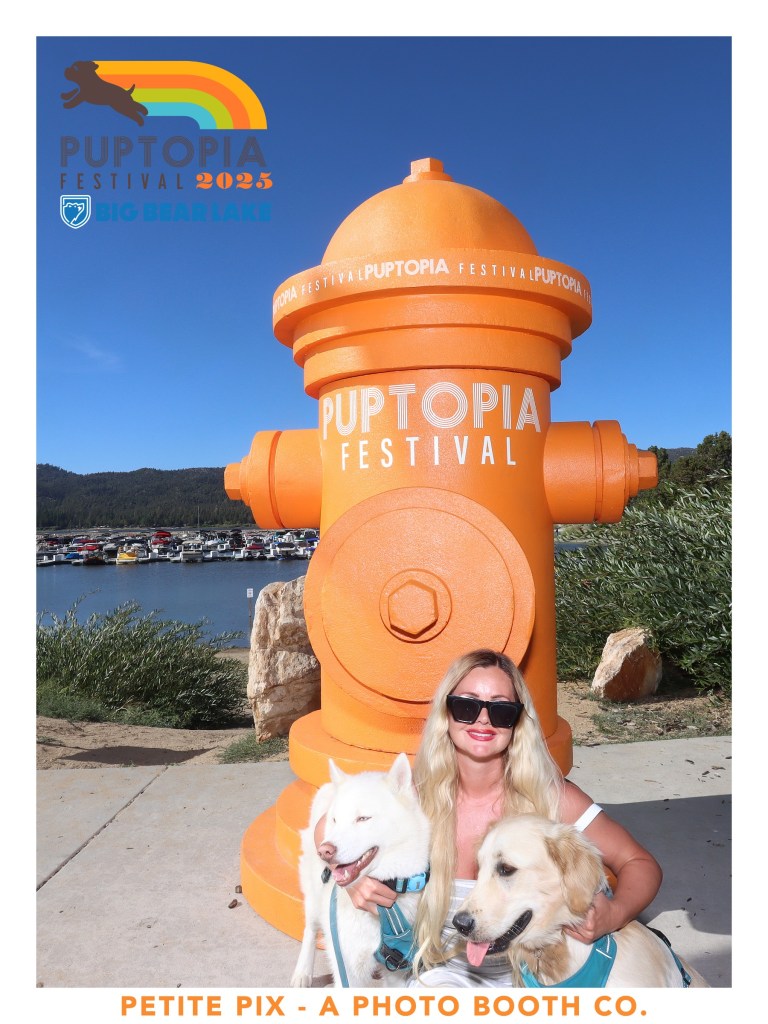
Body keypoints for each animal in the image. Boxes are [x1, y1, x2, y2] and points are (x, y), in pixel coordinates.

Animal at [291, 752, 430, 988]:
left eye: (363, 818)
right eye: (335, 820)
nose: (325, 851)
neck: (385, 909)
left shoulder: (397, 971)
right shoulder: (349, 968)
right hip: (313, 895)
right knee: (310, 928)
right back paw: (302, 972)